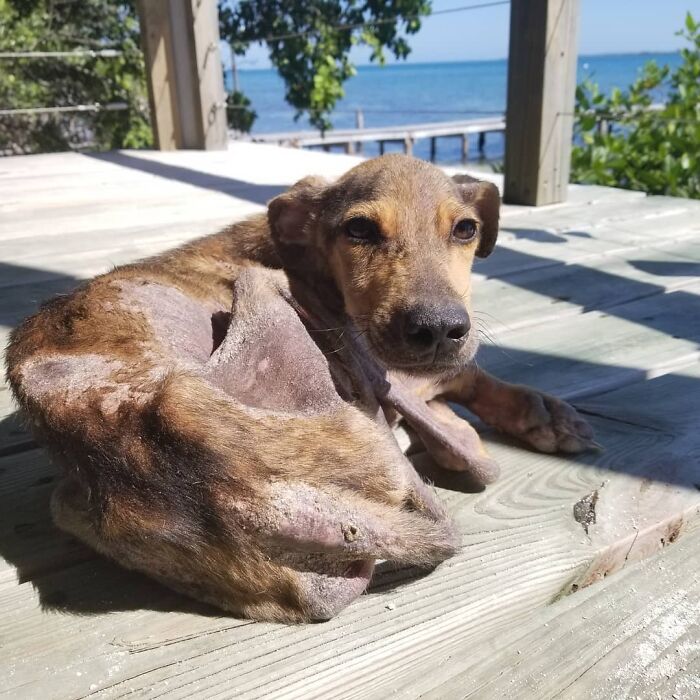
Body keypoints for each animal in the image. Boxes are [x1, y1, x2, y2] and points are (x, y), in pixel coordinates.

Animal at [6, 156, 596, 620]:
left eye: (466, 230)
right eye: (359, 230)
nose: (438, 330)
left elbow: (461, 369)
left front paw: (539, 412)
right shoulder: (374, 349)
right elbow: (453, 377)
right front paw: (531, 410)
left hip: (73, 504)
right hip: (276, 299)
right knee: (457, 449)